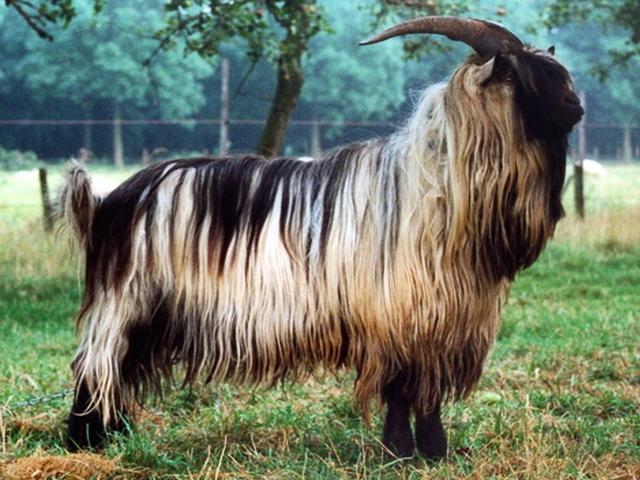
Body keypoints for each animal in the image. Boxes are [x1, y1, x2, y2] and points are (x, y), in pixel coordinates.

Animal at [60, 16, 583, 459]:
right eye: (520, 77)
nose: (576, 106)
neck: (436, 188)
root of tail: (107, 201)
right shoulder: (397, 317)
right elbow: (400, 390)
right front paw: (400, 451)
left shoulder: (440, 321)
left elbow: (427, 393)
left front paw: (433, 451)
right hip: (126, 299)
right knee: (95, 366)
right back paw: (85, 441)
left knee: (117, 370)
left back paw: (115, 433)